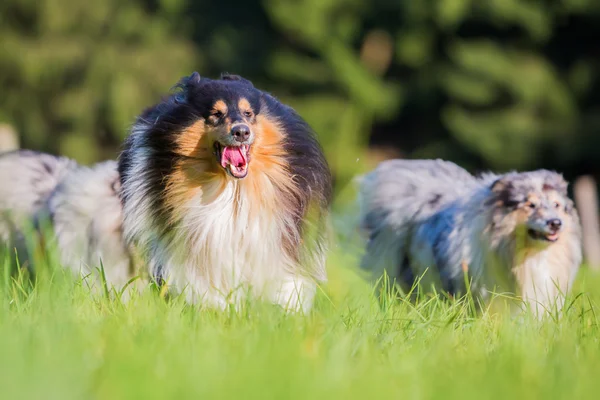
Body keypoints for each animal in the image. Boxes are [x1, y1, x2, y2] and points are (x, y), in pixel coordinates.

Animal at [117, 72, 332, 312]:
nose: (241, 132)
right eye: (216, 114)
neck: (233, 188)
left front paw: (284, 307)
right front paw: (214, 305)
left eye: (248, 113)